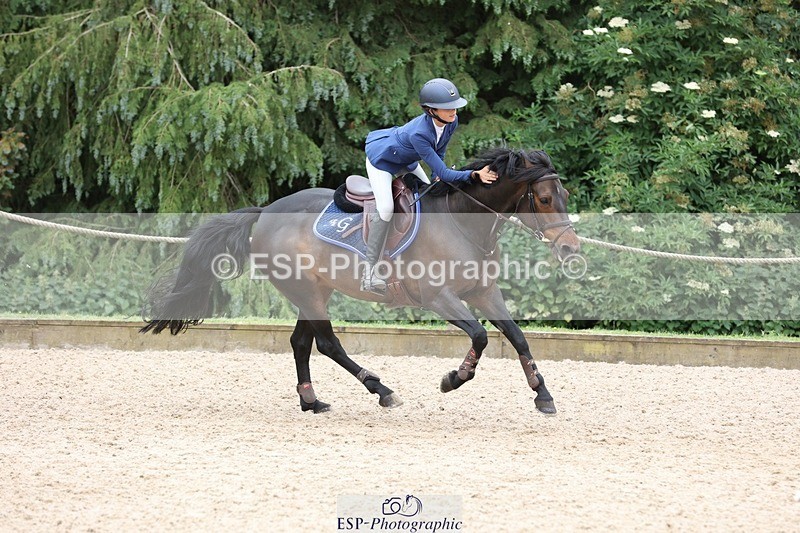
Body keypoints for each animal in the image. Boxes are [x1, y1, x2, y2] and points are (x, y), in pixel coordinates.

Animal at [140, 148, 580, 415]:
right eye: (544, 199)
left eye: (565, 195)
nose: (570, 249)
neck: (463, 224)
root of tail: (265, 212)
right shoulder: (439, 298)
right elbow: (481, 337)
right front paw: (452, 380)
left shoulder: (485, 293)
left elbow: (517, 336)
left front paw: (542, 394)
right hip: (308, 293)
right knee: (327, 343)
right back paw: (381, 390)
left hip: (313, 291)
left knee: (301, 343)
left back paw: (312, 402)